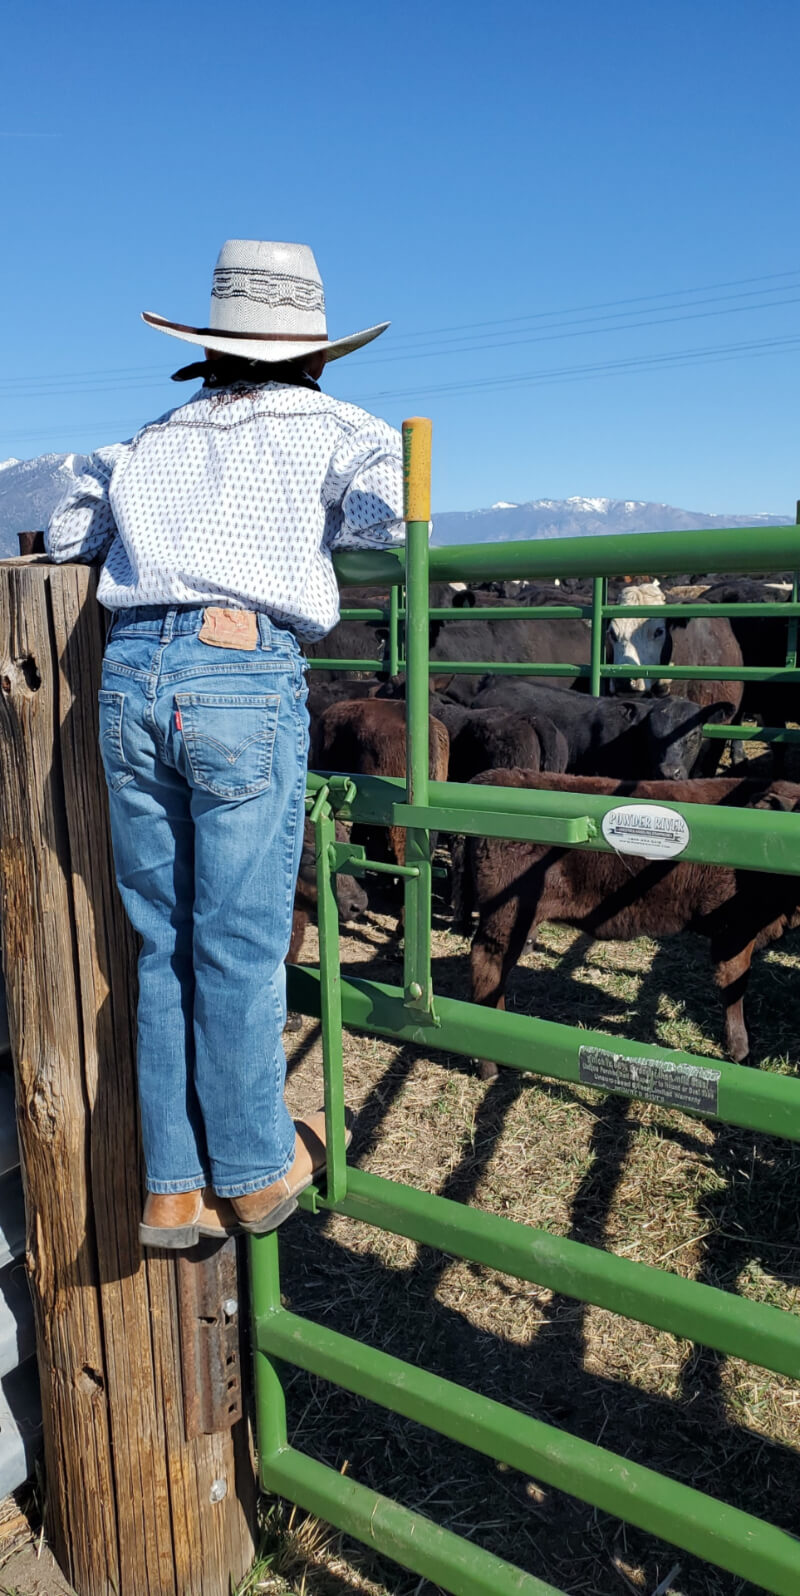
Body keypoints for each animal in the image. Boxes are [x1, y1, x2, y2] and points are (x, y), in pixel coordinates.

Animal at [453, 769, 798, 1078]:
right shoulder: (737, 930)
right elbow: (735, 984)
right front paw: (740, 1050)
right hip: (505, 922)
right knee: (486, 968)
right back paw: (489, 1065)